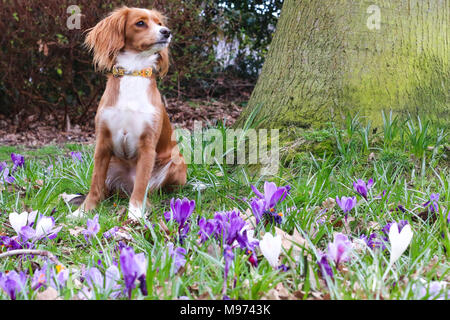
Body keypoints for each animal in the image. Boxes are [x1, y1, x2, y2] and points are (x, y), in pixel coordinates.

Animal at [73, 6, 185, 220]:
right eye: (140, 23)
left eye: (159, 23)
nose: (166, 32)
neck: (134, 72)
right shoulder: (102, 143)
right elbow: (95, 184)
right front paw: (83, 211)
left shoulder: (147, 145)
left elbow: (140, 186)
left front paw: (135, 215)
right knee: (104, 189)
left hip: (178, 162)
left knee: (150, 189)